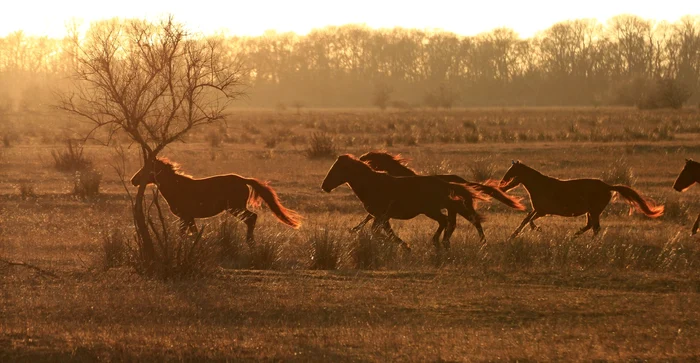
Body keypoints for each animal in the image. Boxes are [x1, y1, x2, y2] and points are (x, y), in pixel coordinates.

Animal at [131, 159, 300, 242]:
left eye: (147, 168)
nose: (133, 180)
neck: (177, 186)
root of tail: (242, 180)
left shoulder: (185, 216)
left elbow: (183, 234)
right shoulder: (189, 217)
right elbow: (193, 233)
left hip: (236, 208)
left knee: (252, 218)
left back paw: (250, 242)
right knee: (251, 218)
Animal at [322, 153, 490, 250]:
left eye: (337, 169)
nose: (324, 186)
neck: (373, 184)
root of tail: (446, 183)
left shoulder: (381, 216)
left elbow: (379, 232)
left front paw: (405, 246)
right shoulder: (382, 217)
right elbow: (382, 232)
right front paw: (402, 245)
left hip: (432, 210)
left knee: (449, 221)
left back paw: (439, 242)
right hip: (436, 210)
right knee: (450, 222)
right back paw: (442, 243)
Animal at [350, 151, 524, 232]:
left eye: (366, 159)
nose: (358, 163)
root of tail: (464, 182)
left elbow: (371, 216)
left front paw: (355, 228)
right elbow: (370, 216)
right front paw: (356, 228)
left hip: (460, 208)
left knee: (474, 221)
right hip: (455, 208)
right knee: (459, 223)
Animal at [500, 161, 664, 240]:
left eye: (512, 170)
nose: (502, 183)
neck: (540, 185)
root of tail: (607, 186)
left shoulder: (543, 211)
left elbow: (530, 221)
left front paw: (537, 229)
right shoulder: (538, 210)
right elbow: (525, 220)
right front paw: (512, 236)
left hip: (594, 211)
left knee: (595, 228)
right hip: (590, 212)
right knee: (590, 226)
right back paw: (573, 237)